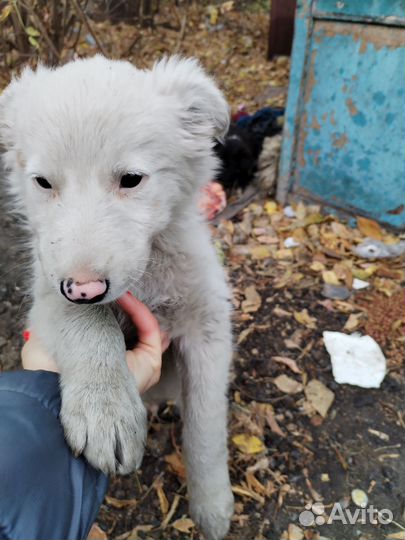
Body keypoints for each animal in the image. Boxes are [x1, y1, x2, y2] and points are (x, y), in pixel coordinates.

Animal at [0, 56, 234, 540]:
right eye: (43, 182)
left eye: (131, 179)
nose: (84, 288)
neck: (147, 279)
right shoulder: (46, 294)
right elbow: (87, 321)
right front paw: (104, 411)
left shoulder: (208, 324)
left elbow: (206, 427)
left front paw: (213, 506)